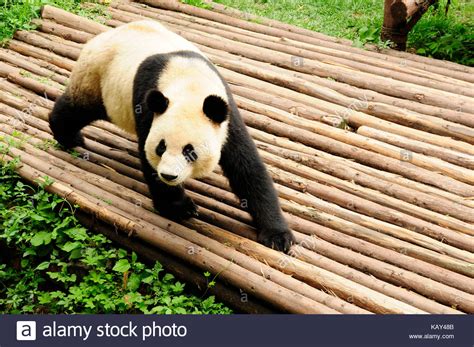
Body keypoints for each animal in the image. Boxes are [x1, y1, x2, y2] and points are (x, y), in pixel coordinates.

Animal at [48, 19, 292, 253]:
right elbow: (147, 156)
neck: (189, 84)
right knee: (78, 109)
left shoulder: (226, 116)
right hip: (99, 77)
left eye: (190, 151)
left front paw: (278, 237)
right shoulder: (148, 105)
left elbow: (247, 168)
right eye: (161, 147)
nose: (169, 175)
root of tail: (102, 36)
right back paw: (69, 137)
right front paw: (181, 207)